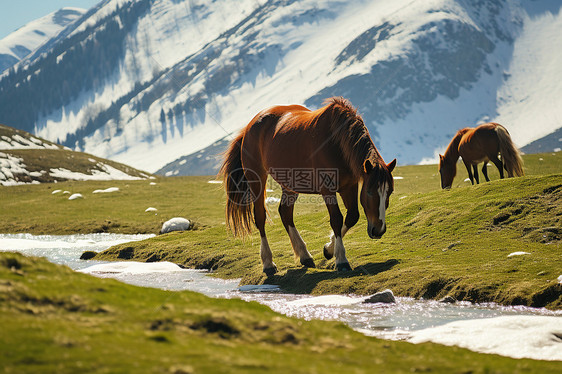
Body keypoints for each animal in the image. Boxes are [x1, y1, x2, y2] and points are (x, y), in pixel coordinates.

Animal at [219, 96, 394, 274]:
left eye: (390, 192)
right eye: (370, 192)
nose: (378, 230)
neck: (337, 143)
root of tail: (249, 126)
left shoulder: (349, 186)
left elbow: (352, 216)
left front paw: (328, 249)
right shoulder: (327, 189)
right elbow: (336, 219)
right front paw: (341, 260)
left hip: (290, 184)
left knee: (285, 213)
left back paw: (304, 255)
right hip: (257, 179)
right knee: (260, 217)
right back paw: (268, 263)